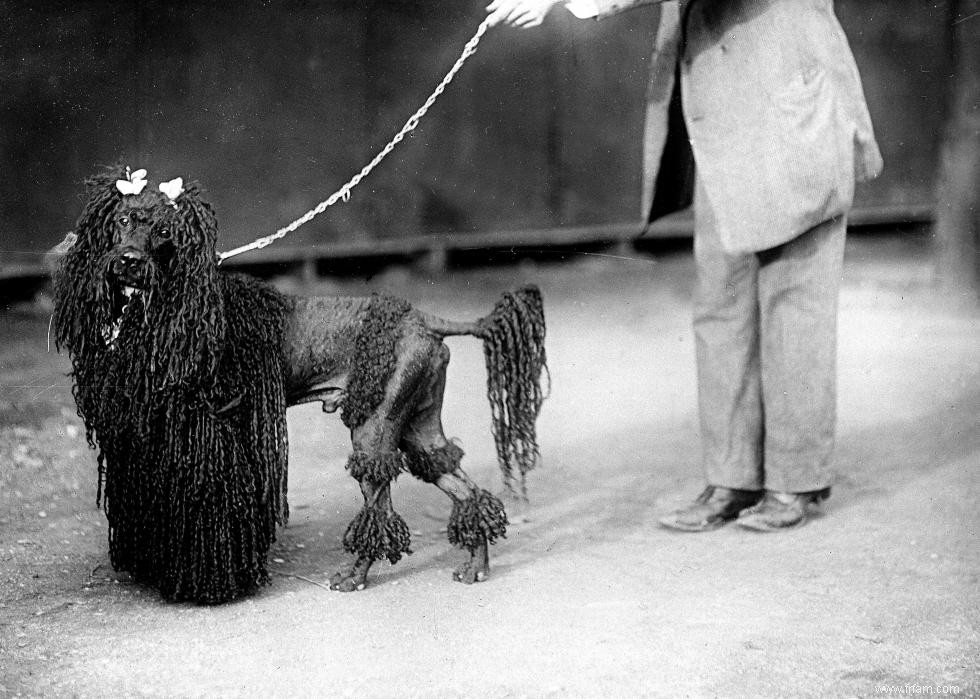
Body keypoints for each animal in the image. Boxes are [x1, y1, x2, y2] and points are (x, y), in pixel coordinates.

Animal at [53, 167, 548, 604]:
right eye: (122, 221)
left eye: (164, 231)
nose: (128, 262)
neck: (169, 310)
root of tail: (424, 318)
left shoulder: (213, 435)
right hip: (417, 426)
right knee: (462, 487)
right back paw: (476, 565)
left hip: (375, 430)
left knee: (380, 509)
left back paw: (355, 575)